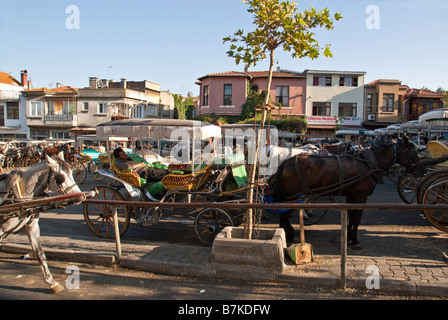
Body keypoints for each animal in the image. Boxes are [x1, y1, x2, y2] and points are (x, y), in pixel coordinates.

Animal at [0, 151, 81, 294]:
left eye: (72, 172)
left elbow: (40, 254)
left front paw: (52, 282)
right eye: (60, 177)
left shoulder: (32, 228)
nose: (80, 196)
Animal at [270, 136, 420, 249]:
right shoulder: (361, 197)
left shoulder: (351, 196)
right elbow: (357, 219)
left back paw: (286, 233)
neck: (368, 163)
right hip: (295, 196)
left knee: (282, 213)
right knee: (284, 214)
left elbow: (350, 217)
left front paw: (348, 237)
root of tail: (286, 162)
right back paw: (289, 234)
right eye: (412, 152)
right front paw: (355, 240)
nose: (421, 170)